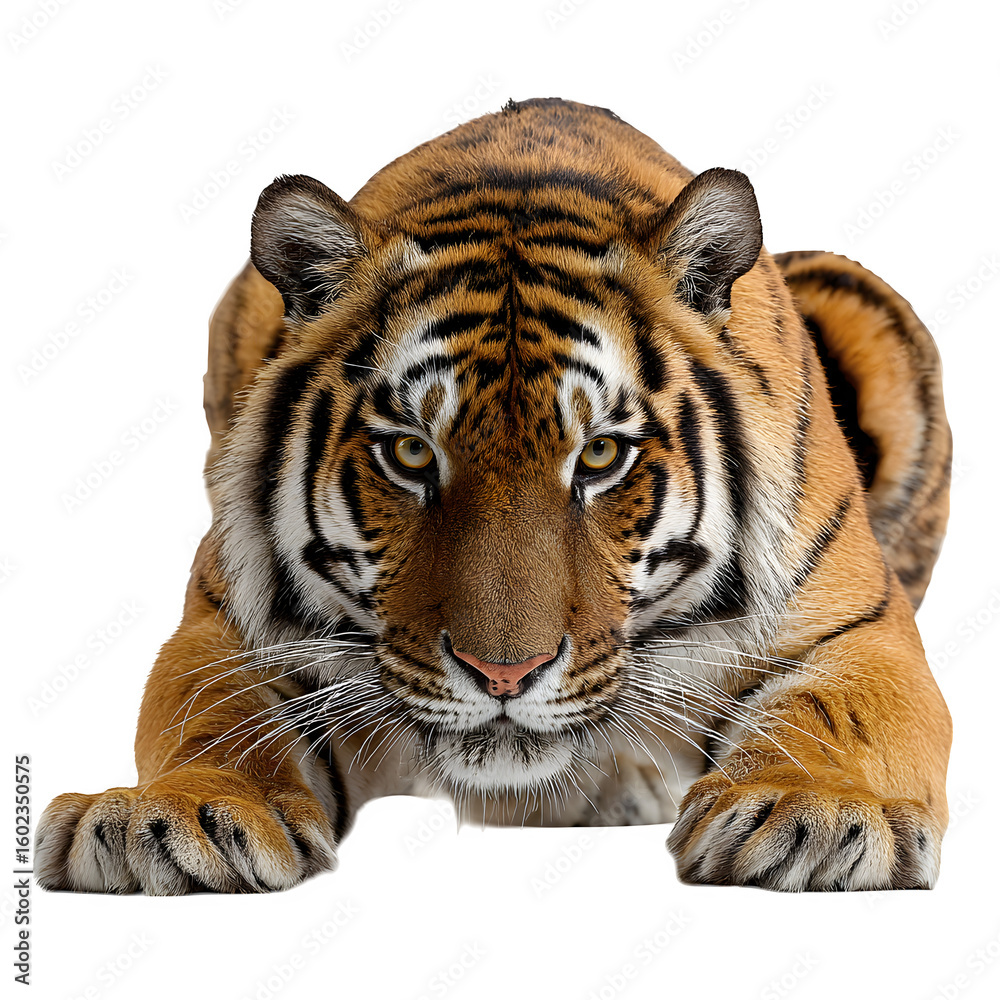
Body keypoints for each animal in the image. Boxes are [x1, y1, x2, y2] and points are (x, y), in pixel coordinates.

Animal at [36, 97, 952, 894]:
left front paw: (813, 814)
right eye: (411, 452)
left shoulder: (858, 627)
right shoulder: (226, 627)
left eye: (601, 455)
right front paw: (171, 820)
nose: (503, 676)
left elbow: (839, 714)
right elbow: (211, 717)